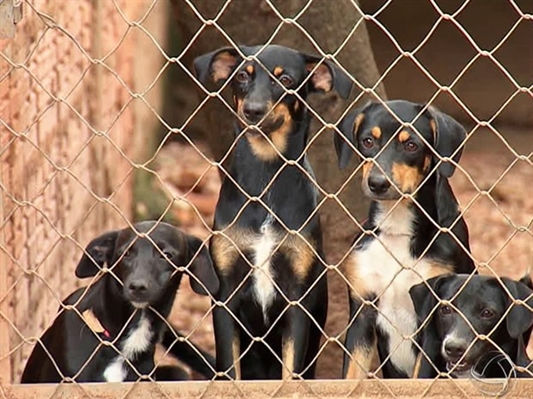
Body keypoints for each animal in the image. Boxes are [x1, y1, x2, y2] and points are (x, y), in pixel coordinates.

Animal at [193, 44, 352, 382]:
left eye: (286, 80)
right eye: (242, 76)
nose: (252, 111)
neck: (264, 184)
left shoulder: (296, 299)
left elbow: (290, 374)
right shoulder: (225, 294)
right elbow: (231, 372)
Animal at [334, 101, 476, 382]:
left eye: (411, 145)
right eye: (368, 141)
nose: (377, 183)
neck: (397, 229)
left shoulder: (432, 324)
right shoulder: (362, 314)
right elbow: (351, 378)